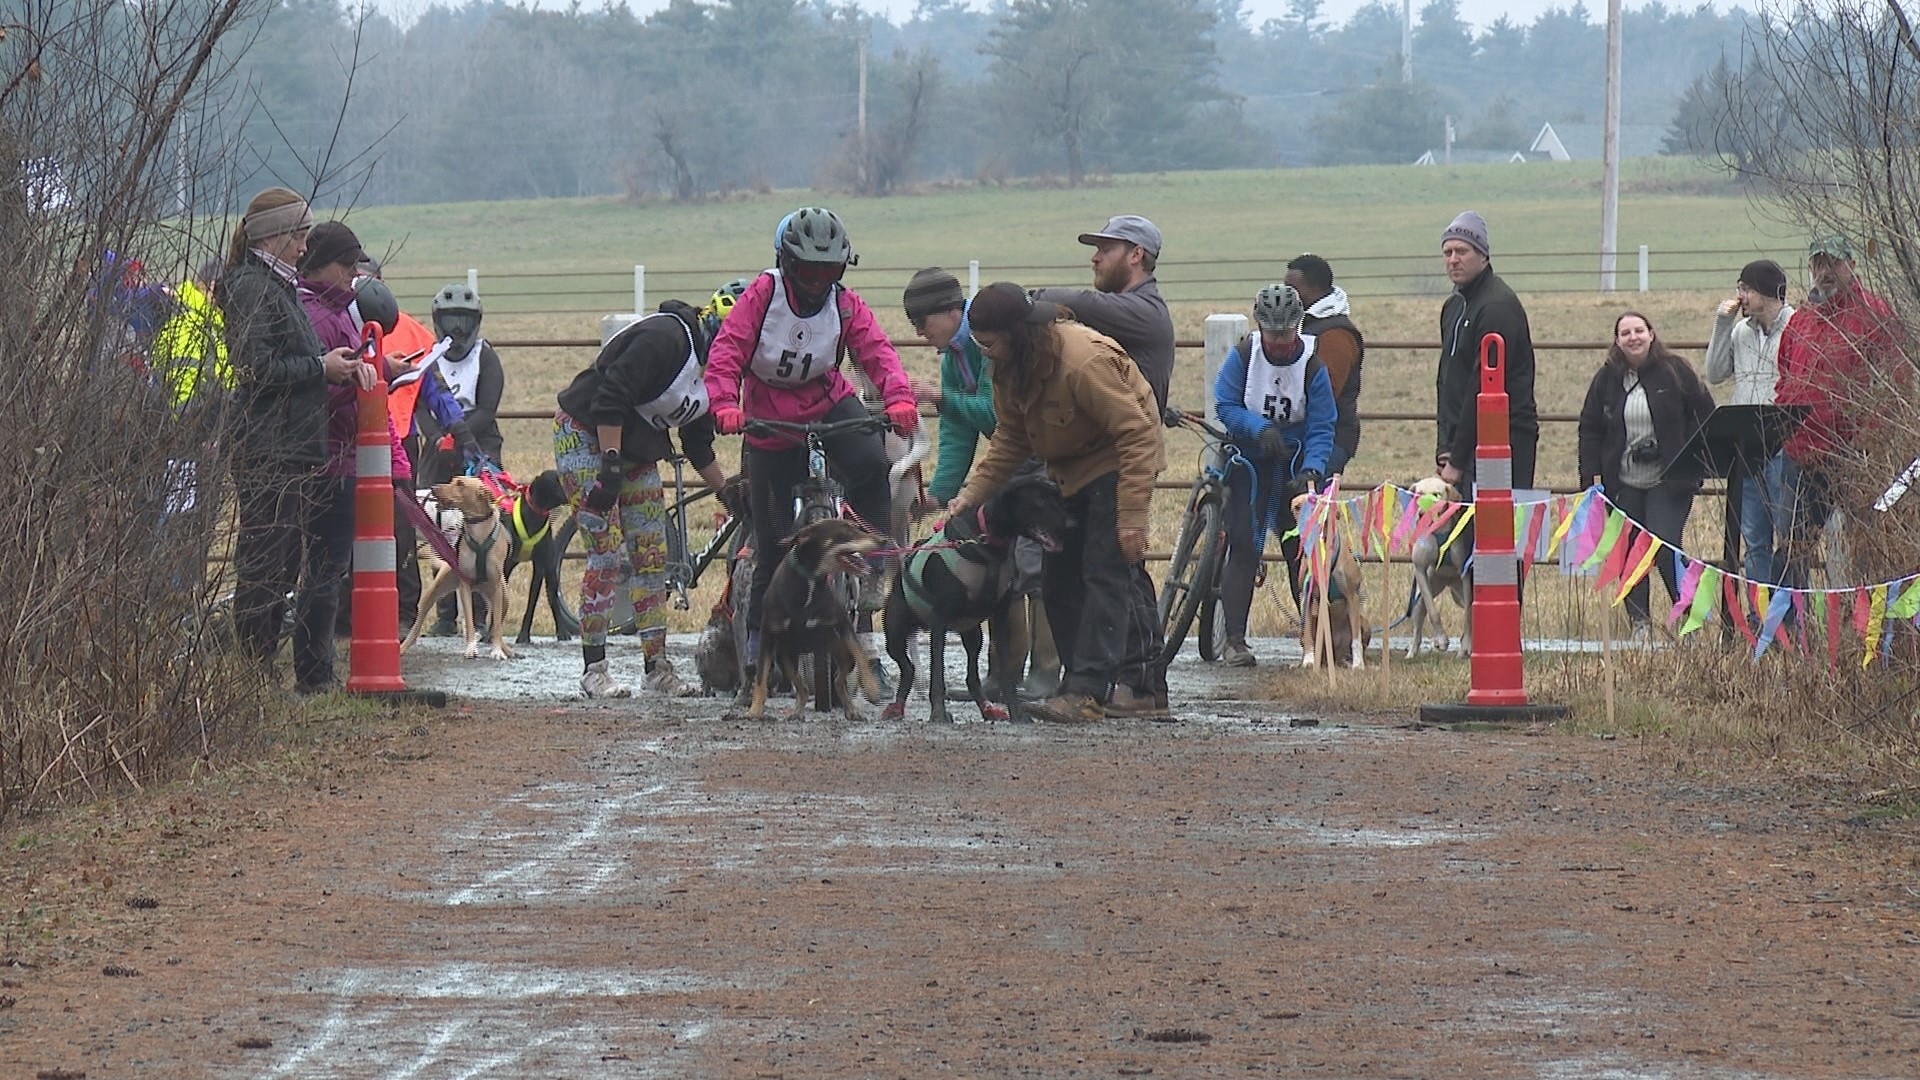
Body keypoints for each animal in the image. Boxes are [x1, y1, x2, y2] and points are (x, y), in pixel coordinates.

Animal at [401, 476, 514, 661]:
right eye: (453, 480)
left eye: (460, 484)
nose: (435, 487)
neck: (478, 532)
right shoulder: (464, 585)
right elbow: (468, 617)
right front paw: (471, 647)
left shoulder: (496, 589)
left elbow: (496, 625)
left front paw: (497, 650)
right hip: (433, 593)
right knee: (417, 624)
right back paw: (404, 645)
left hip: (503, 598)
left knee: (496, 624)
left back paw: (506, 649)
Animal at [744, 518, 887, 718]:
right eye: (846, 532)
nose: (883, 540)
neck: (810, 578)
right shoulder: (768, 636)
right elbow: (761, 678)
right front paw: (755, 710)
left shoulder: (843, 624)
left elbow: (861, 655)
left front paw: (872, 689)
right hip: (784, 658)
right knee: (803, 688)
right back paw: (797, 712)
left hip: (843, 655)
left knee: (838, 681)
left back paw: (851, 710)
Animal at [879, 472, 1067, 718]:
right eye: (1040, 501)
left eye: (1057, 498)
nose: (1070, 524)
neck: (986, 544)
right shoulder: (939, 619)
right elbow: (937, 672)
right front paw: (938, 713)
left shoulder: (1000, 616)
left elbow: (1006, 672)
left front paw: (1017, 713)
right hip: (894, 633)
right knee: (908, 667)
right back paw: (897, 706)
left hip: (972, 634)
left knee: (969, 677)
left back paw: (987, 708)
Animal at [1290, 488, 1367, 664]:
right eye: (1297, 506)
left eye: (1319, 505)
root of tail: (1337, 654)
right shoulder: (1306, 597)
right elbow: (1308, 636)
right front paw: (1309, 660)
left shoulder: (1351, 596)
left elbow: (1356, 639)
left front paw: (1358, 664)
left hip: (1364, 622)